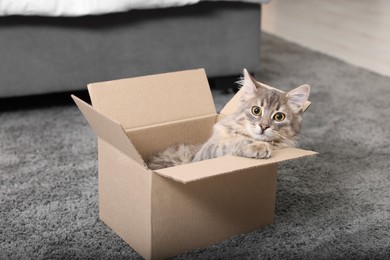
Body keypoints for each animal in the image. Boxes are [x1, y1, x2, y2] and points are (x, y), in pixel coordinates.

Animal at [147, 69, 310, 171]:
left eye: (279, 117)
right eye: (256, 110)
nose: (264, 126)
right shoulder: (204, 153)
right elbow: (230, 144)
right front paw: (257, 146)